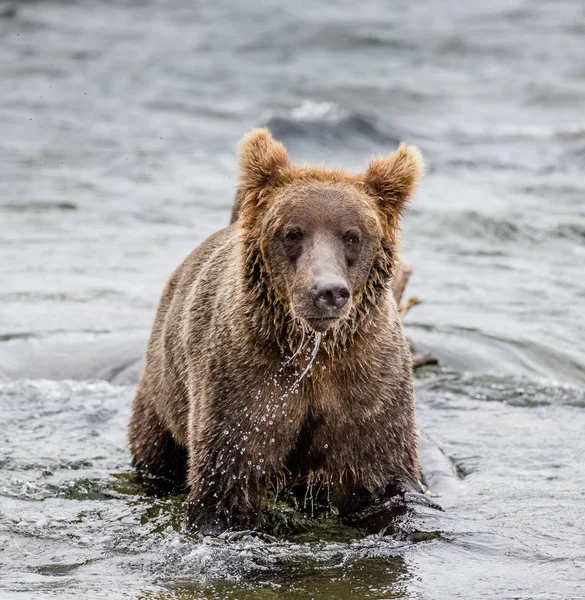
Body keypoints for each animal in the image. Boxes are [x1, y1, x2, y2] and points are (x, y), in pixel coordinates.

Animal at [128, 127, 422, 536]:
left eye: (352, 236)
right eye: (293, 233)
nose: (327, 291)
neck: (314, 353)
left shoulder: (368, 385)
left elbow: (381, 481)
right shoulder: (246, 379)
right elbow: (227, 482)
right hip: (163, 390)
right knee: (155, 451)